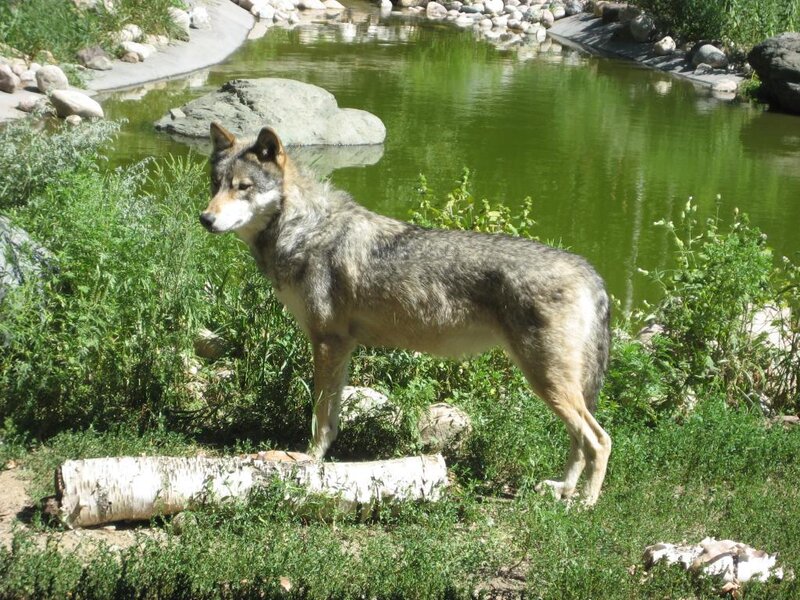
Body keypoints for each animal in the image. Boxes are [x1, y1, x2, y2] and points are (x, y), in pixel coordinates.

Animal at [200, 123, 612, 505]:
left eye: (243, 187)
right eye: (215, 184)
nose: (205, 219)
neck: (305, 229)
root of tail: (588, 270)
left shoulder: (327, 343)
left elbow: (320, 417)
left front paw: (310, 459)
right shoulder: (341, 348)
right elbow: (332, 416)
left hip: (547, 382)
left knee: (600, 439)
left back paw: (586, 503)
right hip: (558, 386)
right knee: (581, 441)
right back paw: (563, 490)